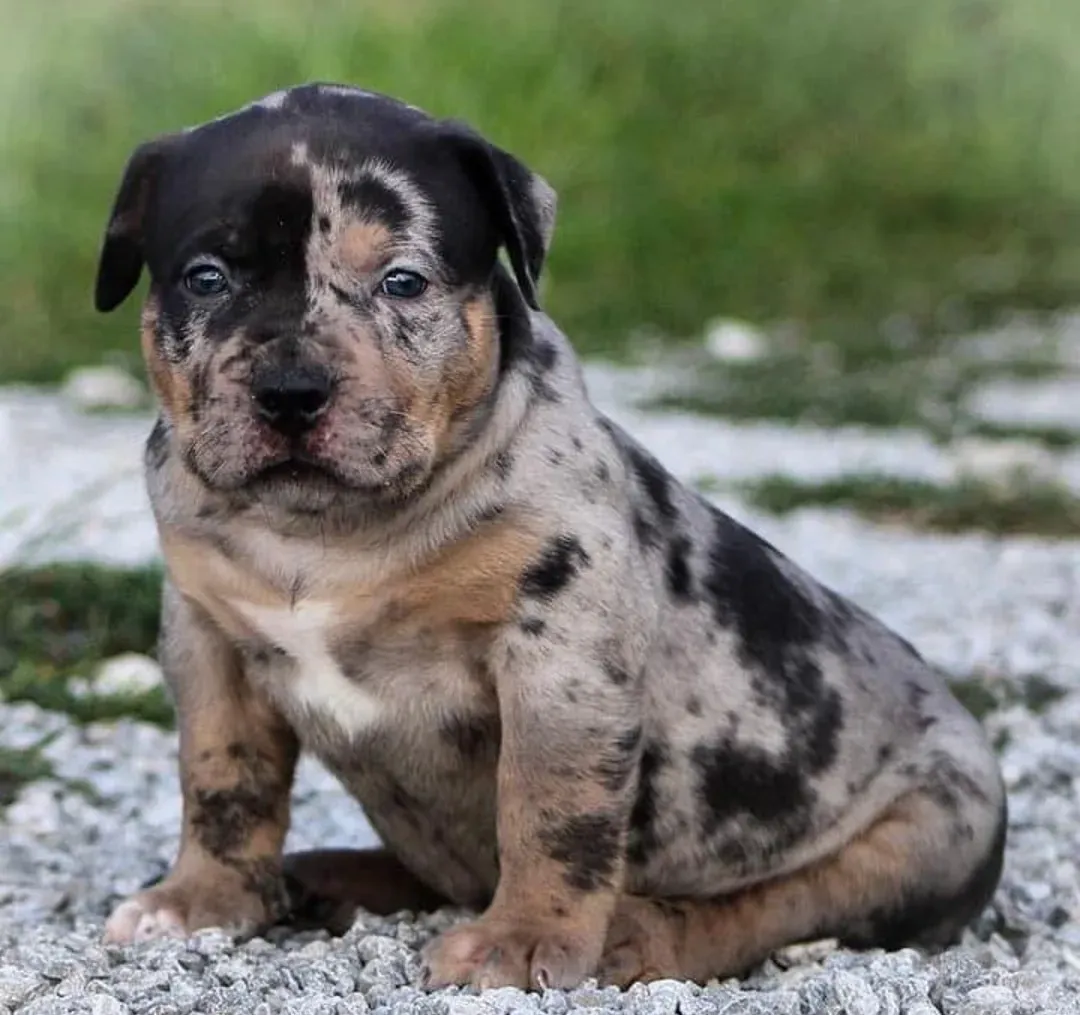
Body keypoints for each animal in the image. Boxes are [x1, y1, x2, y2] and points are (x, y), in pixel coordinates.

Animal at [92, 83, 1006, 990]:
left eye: (402, 281)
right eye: (206, 279)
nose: (290, 390)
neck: (327, 531)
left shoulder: (560, 653)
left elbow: (549, 806)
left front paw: (522, 938)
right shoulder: (207, 640)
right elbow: (222, 779)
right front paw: (200, 899)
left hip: (930, 830)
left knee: (774, 906)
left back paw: (638, 933)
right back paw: (328, 877)